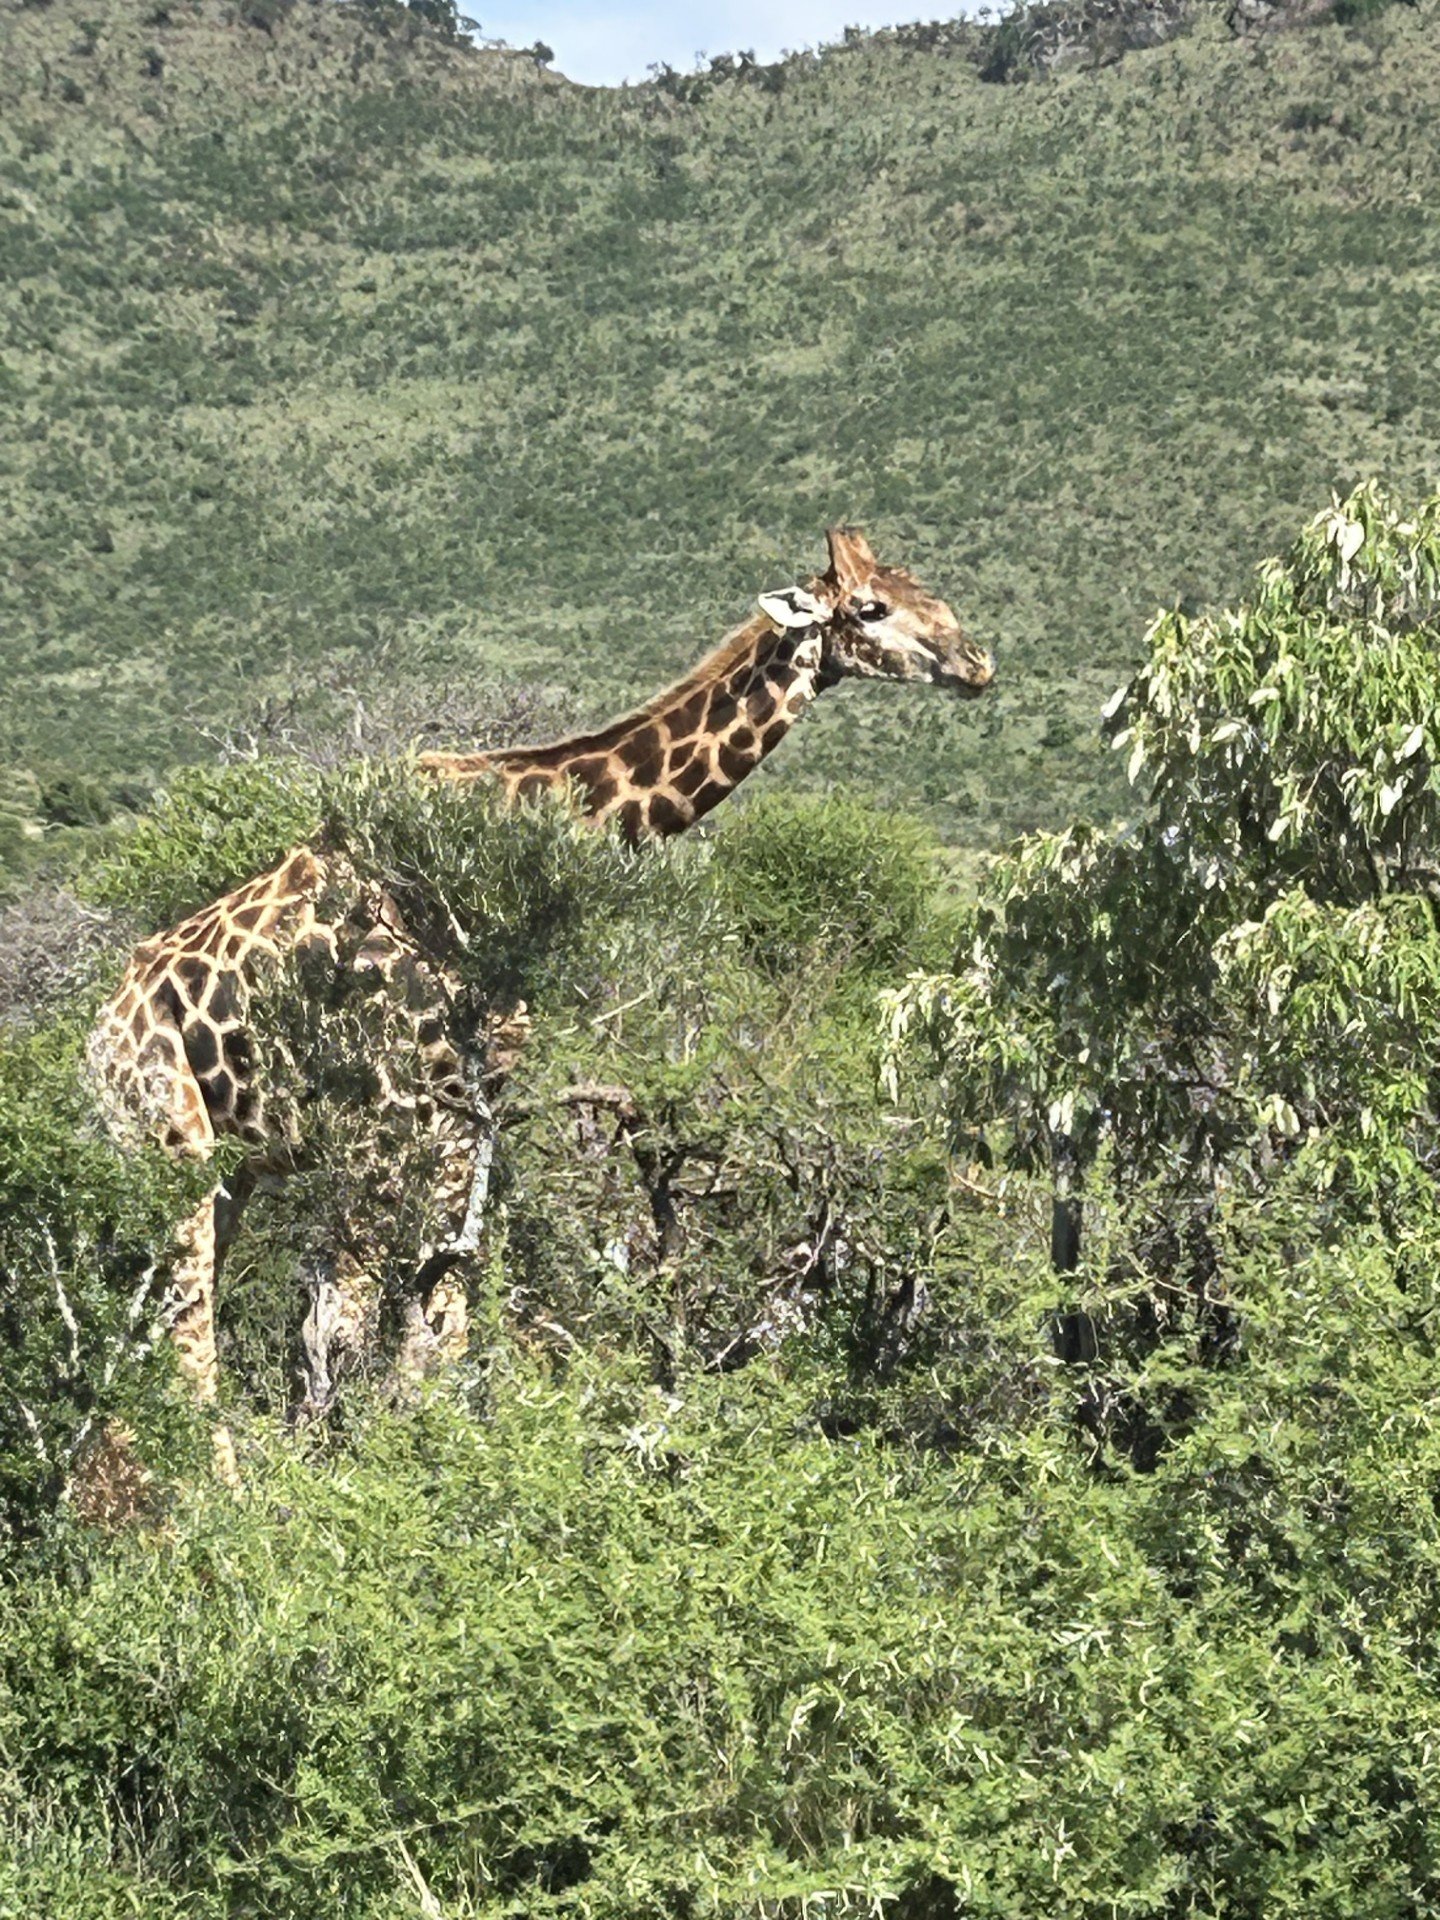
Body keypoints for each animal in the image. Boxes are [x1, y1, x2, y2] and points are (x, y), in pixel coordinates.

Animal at [87, 527, 994, 1471]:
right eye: (870, 608)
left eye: (923, 588)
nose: (978, 663)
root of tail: (97, 1039)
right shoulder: (397, 1113)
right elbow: (375, 1318)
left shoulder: (469, 1105)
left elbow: (433, 1307)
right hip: (169, 1140)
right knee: (187, 1333)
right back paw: (213, 1499)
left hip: (227, 1168)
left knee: (147, 1323)